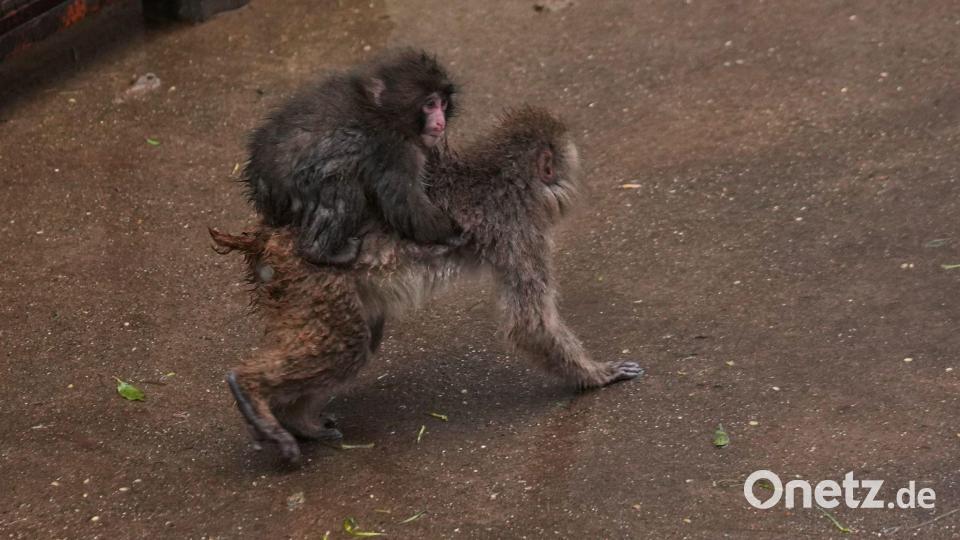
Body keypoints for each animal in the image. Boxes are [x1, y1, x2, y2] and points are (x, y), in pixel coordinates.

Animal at [211, 107, 644, 463]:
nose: (572, 183)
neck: (501, 177)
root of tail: (267, 237)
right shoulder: (519, 231)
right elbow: (530, 325)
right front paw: (595, 375)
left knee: (361, 338)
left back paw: (296, 419)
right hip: (310, 279)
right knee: (348, 346)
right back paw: (251, 390)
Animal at [242, 48, 462, 266]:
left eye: (443, 104)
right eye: (430, 104)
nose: (440, 123)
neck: (384, 112)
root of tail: (260, 180)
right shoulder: (394, 149)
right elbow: (406, 204)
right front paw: (450, 233)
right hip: (295, 188)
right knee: (343, 189)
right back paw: (320, 252)